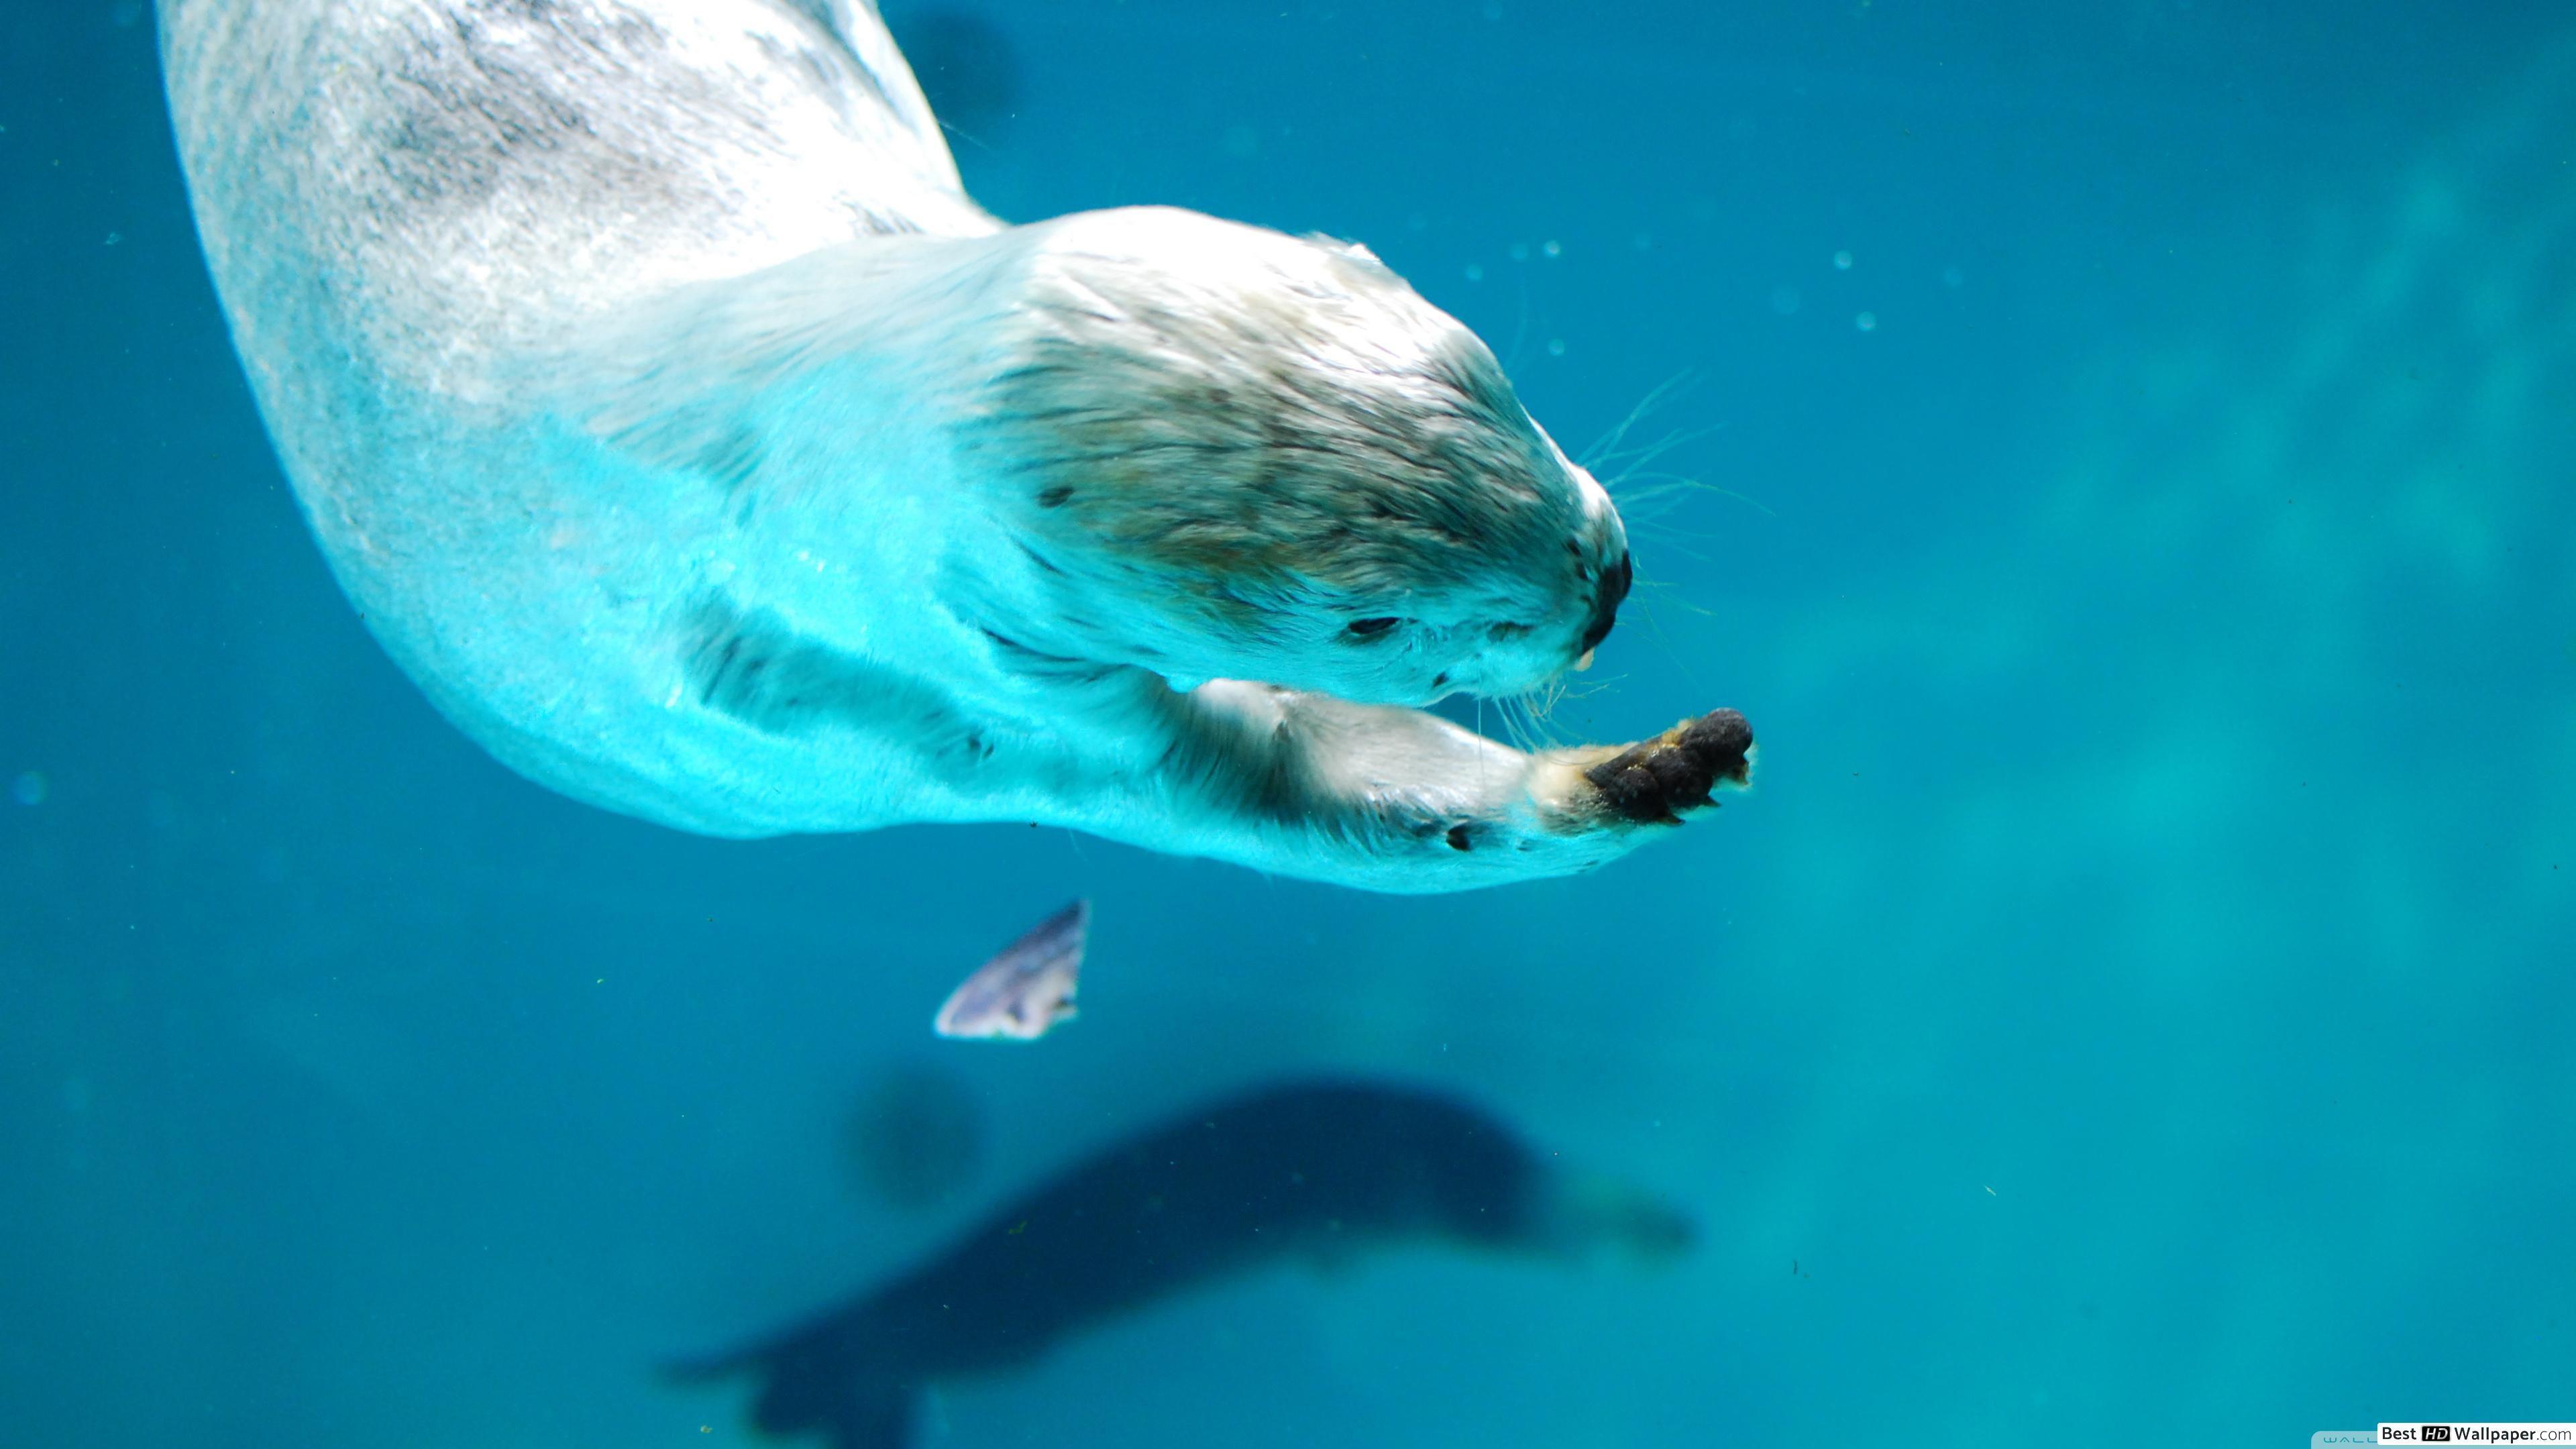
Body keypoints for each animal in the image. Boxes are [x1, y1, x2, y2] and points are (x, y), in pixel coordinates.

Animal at [158, 0, 1751, 891]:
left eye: (1485, 368)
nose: (1604, 583)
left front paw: (1660, 765)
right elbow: (1282, 797)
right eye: (1368, 622)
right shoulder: (921, 688)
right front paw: (1637, 776)